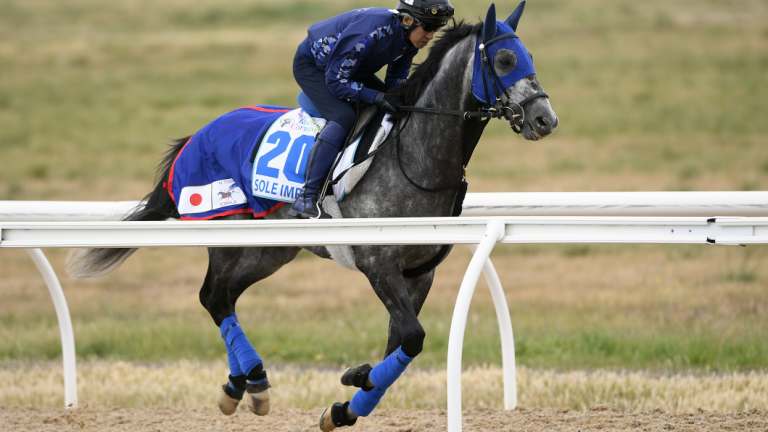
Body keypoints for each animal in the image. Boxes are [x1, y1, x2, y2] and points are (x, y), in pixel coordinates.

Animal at [67, 2, 560, 428]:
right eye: (503, 60)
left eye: (529, 56)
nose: (545, 119)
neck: (415, 155)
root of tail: (196, 137)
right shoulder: (377, 262)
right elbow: (412, 337)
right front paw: (353, 388)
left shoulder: (419, 272)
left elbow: (400, 343)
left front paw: (348, 400)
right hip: (230, 237)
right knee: (213, 297)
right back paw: (252, 381)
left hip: (269, 252)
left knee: (223, 298)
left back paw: (241, 384)